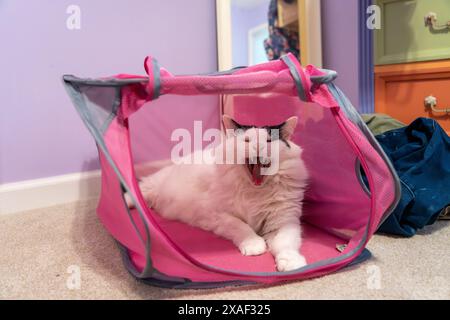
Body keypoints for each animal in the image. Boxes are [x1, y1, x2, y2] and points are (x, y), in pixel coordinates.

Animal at [126, 116, 310, 272]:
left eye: (269, 141)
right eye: (246, 140)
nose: (258, 147)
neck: (254, 191)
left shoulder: (284, 221)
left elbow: (285, 244)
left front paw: (292, 263)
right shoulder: (216, 214)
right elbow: (241, 226)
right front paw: (253, 245)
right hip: (153, 185)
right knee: (138, 189)